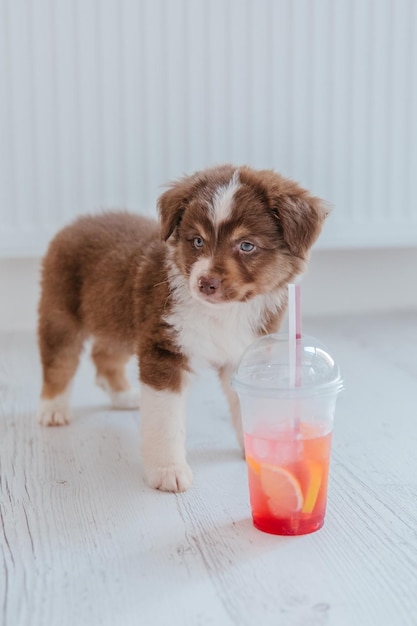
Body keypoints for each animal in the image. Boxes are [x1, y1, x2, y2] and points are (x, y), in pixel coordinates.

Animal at [37, 165, 326, 492]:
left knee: (104, 353)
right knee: (59, 360)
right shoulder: (164, 348)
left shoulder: (245, 351)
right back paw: (53, 409)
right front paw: (168, 471)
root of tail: (76, 223)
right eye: (197, 241)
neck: (223, 313)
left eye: (246, 246)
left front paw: (261, 450)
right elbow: (166, 421)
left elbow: (245, 404)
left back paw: (123, 396)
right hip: (61, 309)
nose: (205, 283)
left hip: (117, 315)